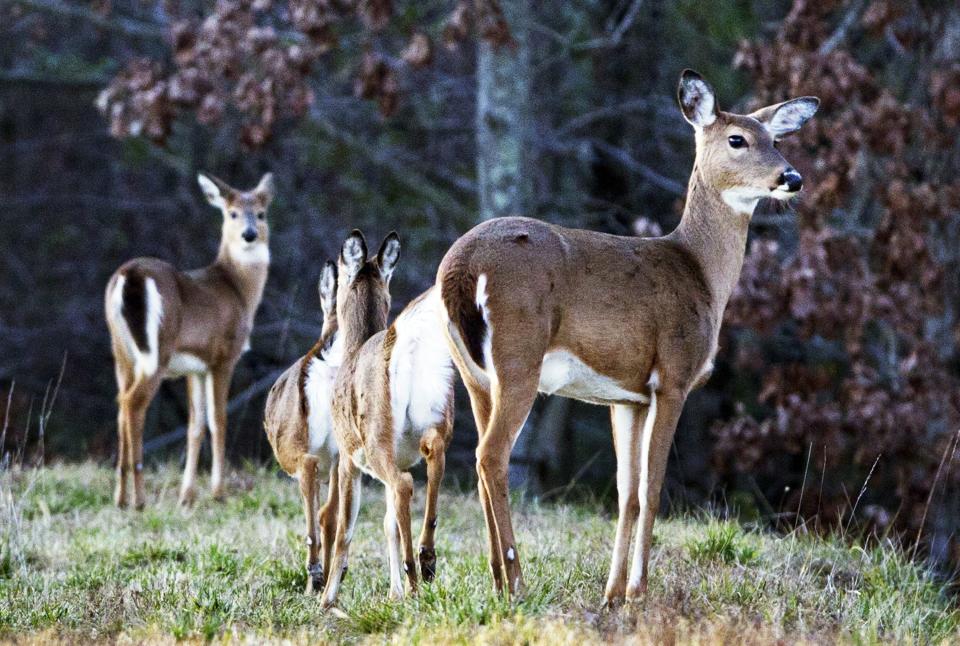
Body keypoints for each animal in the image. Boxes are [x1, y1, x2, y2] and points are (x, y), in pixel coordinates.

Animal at [107, 172, 276, 512]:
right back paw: (139, 498)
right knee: (132, 403)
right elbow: (218, 419)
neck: (238, 290)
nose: (249, 234)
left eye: (261, 213)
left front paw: (187, 495)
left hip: (122, 352)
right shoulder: (224, 355)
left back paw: (120, 496)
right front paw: (218, 492)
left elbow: (195, 425)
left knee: (120, 403)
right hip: (156, 349)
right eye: (232, 213)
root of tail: (130, 275)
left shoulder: (193, 366)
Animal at [436, 71, 816, 608]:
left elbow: (627, 492)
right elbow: (654, 487)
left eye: (776, 140)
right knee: (491, 455)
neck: (702, 275)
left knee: (478, 456)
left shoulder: (625, 396)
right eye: (737, 139)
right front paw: (639, 590)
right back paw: (517, 582)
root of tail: (461, 267)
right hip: (519, 354)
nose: (792, 177)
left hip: (472, 372)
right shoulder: (673, 375)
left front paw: (613, 593)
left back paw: (495, 578)